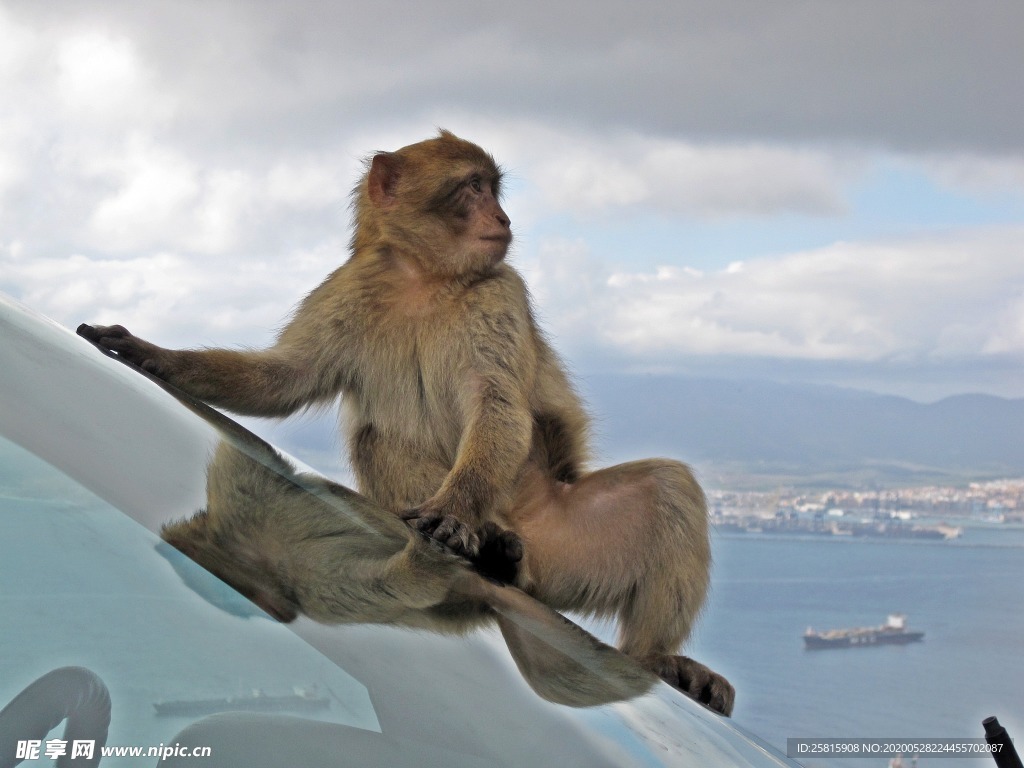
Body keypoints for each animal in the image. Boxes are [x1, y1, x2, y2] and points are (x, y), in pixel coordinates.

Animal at [77, 131, 737, 716]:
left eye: (493, 188)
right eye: (473, 187)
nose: (502, 216)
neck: (425, 277)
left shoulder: (499, 292)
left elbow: (497, 402)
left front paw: (452, 513)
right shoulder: (347, 289)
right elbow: (284, 378)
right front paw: (151, 354)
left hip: (567, 543)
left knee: (668, 486)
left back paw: (647, 651)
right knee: (377, 435)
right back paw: (496, 550)